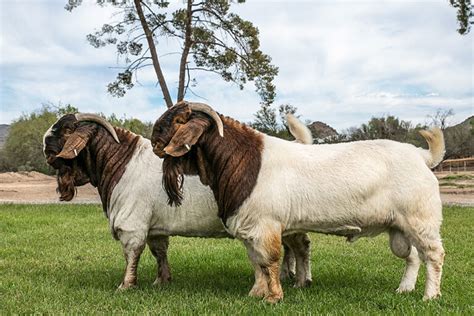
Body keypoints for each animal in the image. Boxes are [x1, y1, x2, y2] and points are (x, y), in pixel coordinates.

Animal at [151, 101, 444, 304]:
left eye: (177, 120)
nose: (153, 142)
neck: (243, 160)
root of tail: (422, 156)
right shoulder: (249, 227)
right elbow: (256, 262)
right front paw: (255, 293)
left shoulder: (266, 225)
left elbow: (269, 260)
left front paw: (273, 297)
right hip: (399, 227)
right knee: (412, 256)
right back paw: (404, 288)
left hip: (421, 219)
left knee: (434, 254)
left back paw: (430, 296)